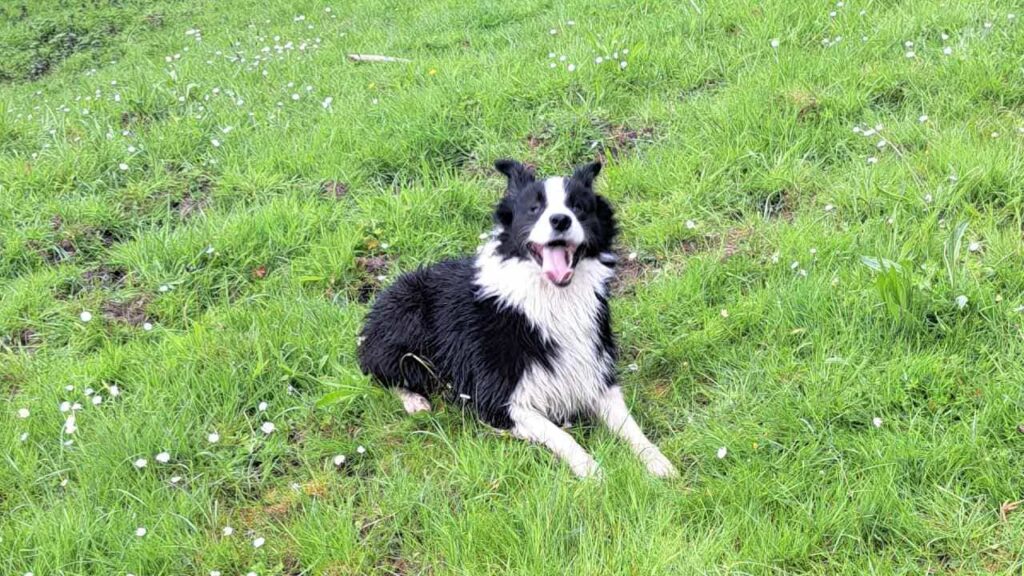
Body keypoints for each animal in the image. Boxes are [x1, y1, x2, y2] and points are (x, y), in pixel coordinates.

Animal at [356, 157, 675, 475]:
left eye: (578, 207)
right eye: (534, 209)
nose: (560, 220)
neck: (553, 300)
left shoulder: (596, 375)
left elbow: (630, 426)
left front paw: (657, 461)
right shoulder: (498, 399)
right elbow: (560, 435)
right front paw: (591, 470)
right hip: (407, 320)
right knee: (382, 373)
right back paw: (415, 401)